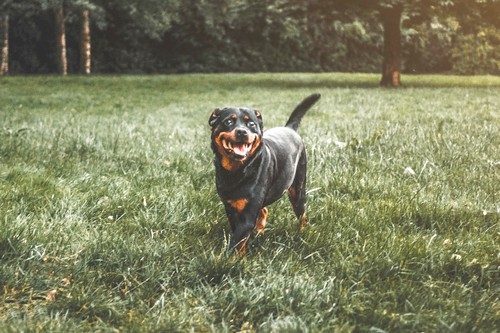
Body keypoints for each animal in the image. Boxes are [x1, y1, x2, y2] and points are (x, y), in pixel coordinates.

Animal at [210, 93, 320, 252]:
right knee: (264, 210)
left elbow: (236, 243)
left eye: (251, 124)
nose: (242, 131)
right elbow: (238, 239)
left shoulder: (248, 215)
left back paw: (303, 232)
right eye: (228, 121)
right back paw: (259, 231)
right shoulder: (231, 208)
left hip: (298, 188)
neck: (238, 171)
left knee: (302, 214)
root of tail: (290, 129)